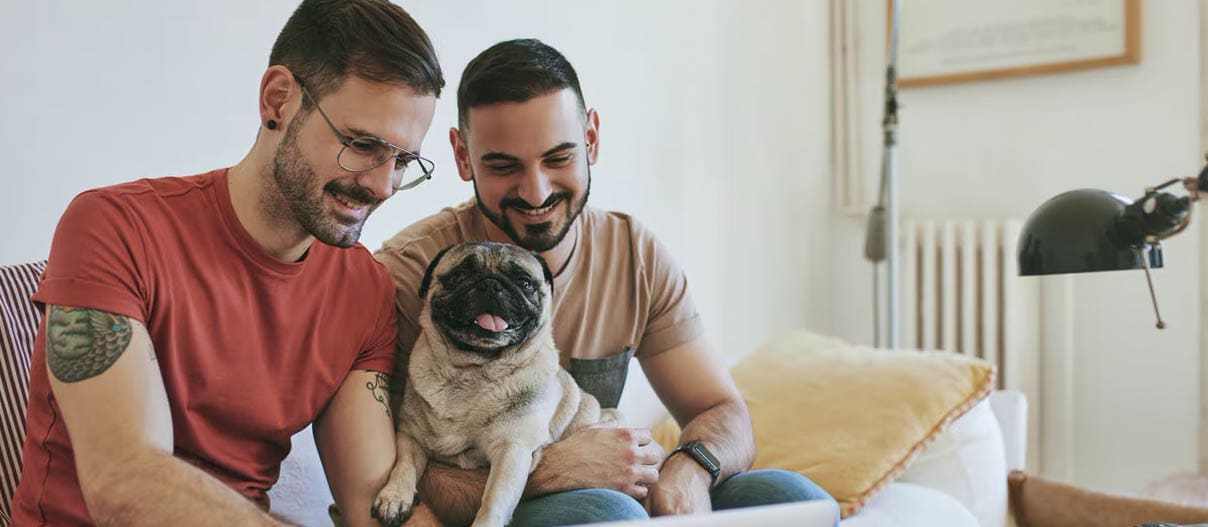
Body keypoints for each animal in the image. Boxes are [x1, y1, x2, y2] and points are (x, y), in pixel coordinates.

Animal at [372, 241, 618, 527]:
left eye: (525, 282)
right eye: (458, 276)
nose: (490, 284)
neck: (473, 371)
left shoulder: (511, 451)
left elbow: (491, 503)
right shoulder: (410, 435)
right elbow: (404, 465)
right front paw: (394, 497)